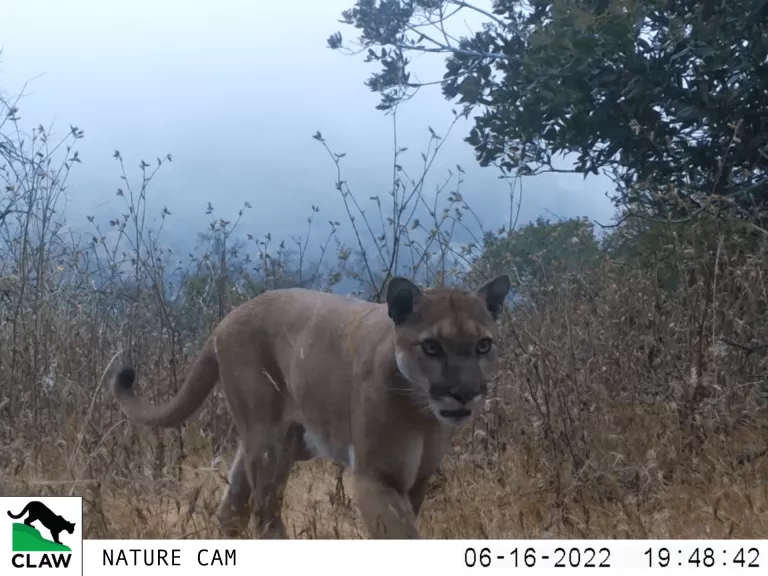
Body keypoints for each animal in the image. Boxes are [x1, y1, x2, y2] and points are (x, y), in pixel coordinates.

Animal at [110, 274, 511, 539]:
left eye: (483, 345)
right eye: (431, 347)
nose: (465, 392)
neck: (422, 413)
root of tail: (228, 318)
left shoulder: (417, 480)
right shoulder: (376, 476)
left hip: (283, 442)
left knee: (234, 505)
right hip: (269, 442)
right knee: (265, 514)